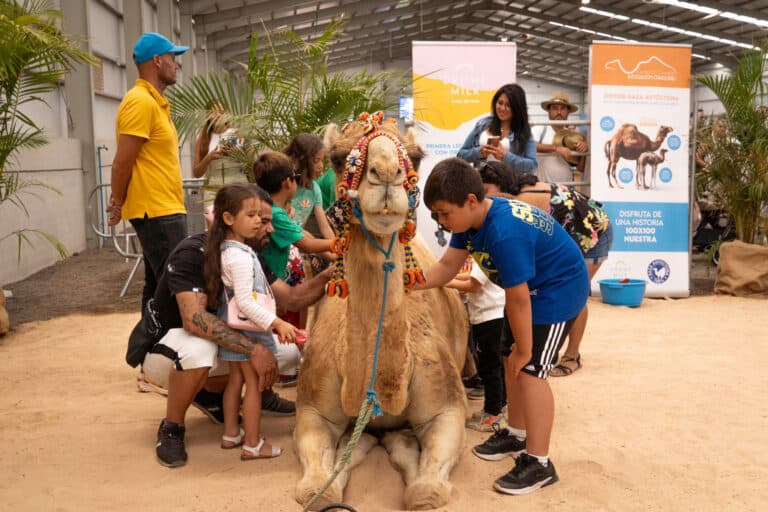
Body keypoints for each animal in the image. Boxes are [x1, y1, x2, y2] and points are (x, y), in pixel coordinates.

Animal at [293, 113, 468, 510]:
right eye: (338, 157)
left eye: (416, 156)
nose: (386, 173)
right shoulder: (311, 409)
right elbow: (318, 488)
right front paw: (357, 447)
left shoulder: (449, 408)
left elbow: (425, 492)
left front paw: (399, 444)